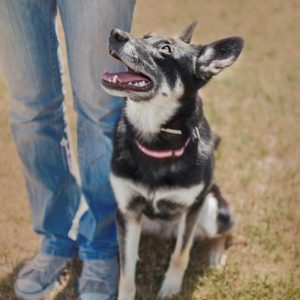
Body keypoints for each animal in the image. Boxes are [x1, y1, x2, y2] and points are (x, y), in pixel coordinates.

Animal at [101, 21, 244, 300]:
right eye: (145, 36)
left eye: (165, 49)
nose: (115, 34)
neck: (155, 140)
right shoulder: (127, 211)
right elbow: (126, 269)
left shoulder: (193, 208)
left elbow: (180, 254)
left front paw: (170, 288)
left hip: (211, 210)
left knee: (226, 228)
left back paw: (216, 255)